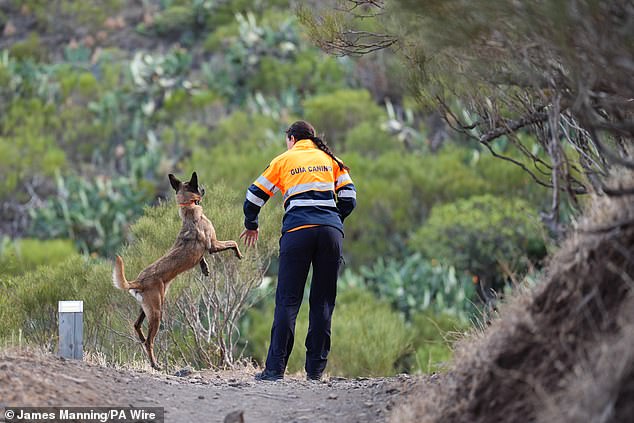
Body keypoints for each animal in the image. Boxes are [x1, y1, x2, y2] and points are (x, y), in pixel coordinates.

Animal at [112, 172, 241, 372]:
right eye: (197, 184)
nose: (204, 188)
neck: (188, 209)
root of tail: (138, 280)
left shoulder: (203, 251)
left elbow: (201, 259)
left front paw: (205, 268)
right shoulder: (213, 245)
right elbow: (232, 242)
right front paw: (238, 253)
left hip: (147, 308)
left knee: (136, 326)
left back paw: (141, 338)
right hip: (157, 312)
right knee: (150, 342)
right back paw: (155, 364)